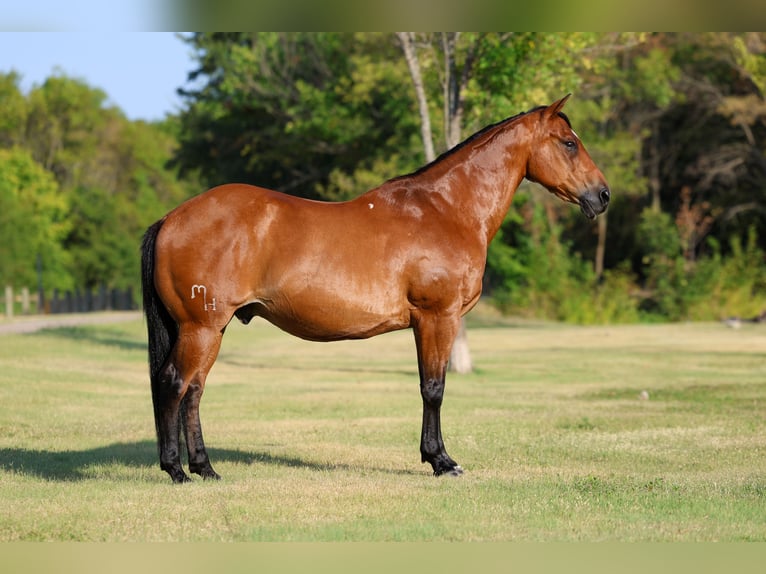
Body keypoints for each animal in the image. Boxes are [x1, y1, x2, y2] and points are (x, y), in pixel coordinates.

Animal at [141, 94, 610, 483]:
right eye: (569, 142)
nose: (602, 195)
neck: (446, 209)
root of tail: (170, 218)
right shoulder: (437, 317)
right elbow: (433, 388)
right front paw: (442, 461)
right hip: (200, 328)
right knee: (173, 384)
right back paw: (177, 471)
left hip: (210, 329)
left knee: (193, 391)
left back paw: (205, 469)